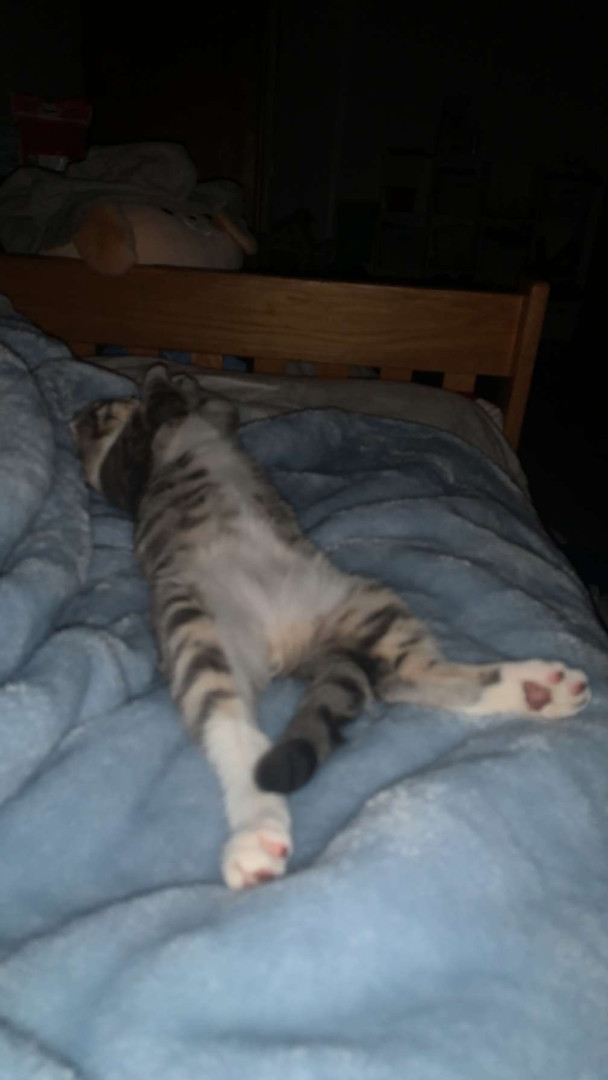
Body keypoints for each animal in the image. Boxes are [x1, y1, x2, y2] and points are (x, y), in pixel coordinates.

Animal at [71, 366, 590, 890]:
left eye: (96, 411)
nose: (80, 413)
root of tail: (290, 646)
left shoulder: (211, 422)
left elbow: (214, 407)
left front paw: (179, 382)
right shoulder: (128, 473)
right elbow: (149, 425)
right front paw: (161, 383)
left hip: (360, 601)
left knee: (403, 678)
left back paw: (534, 691)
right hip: (195, 621)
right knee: (228, 723)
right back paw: (255, 829)